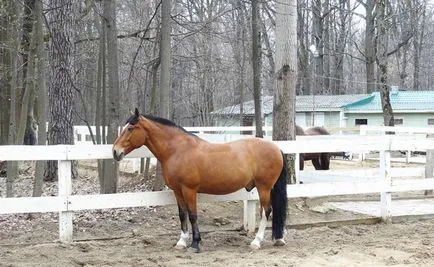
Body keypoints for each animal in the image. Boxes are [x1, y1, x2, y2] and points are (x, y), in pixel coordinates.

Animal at [113, 109, 286, 253]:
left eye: (130, 129)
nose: (115, 151)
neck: (177, 150)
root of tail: (276, 148)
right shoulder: (177, 190)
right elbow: (182, 214)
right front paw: (182, 242)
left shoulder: (189, 190)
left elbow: (192, 215)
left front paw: (195, 243)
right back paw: (279, 239)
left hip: (264, 187)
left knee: (266, 211)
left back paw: (257, 241)